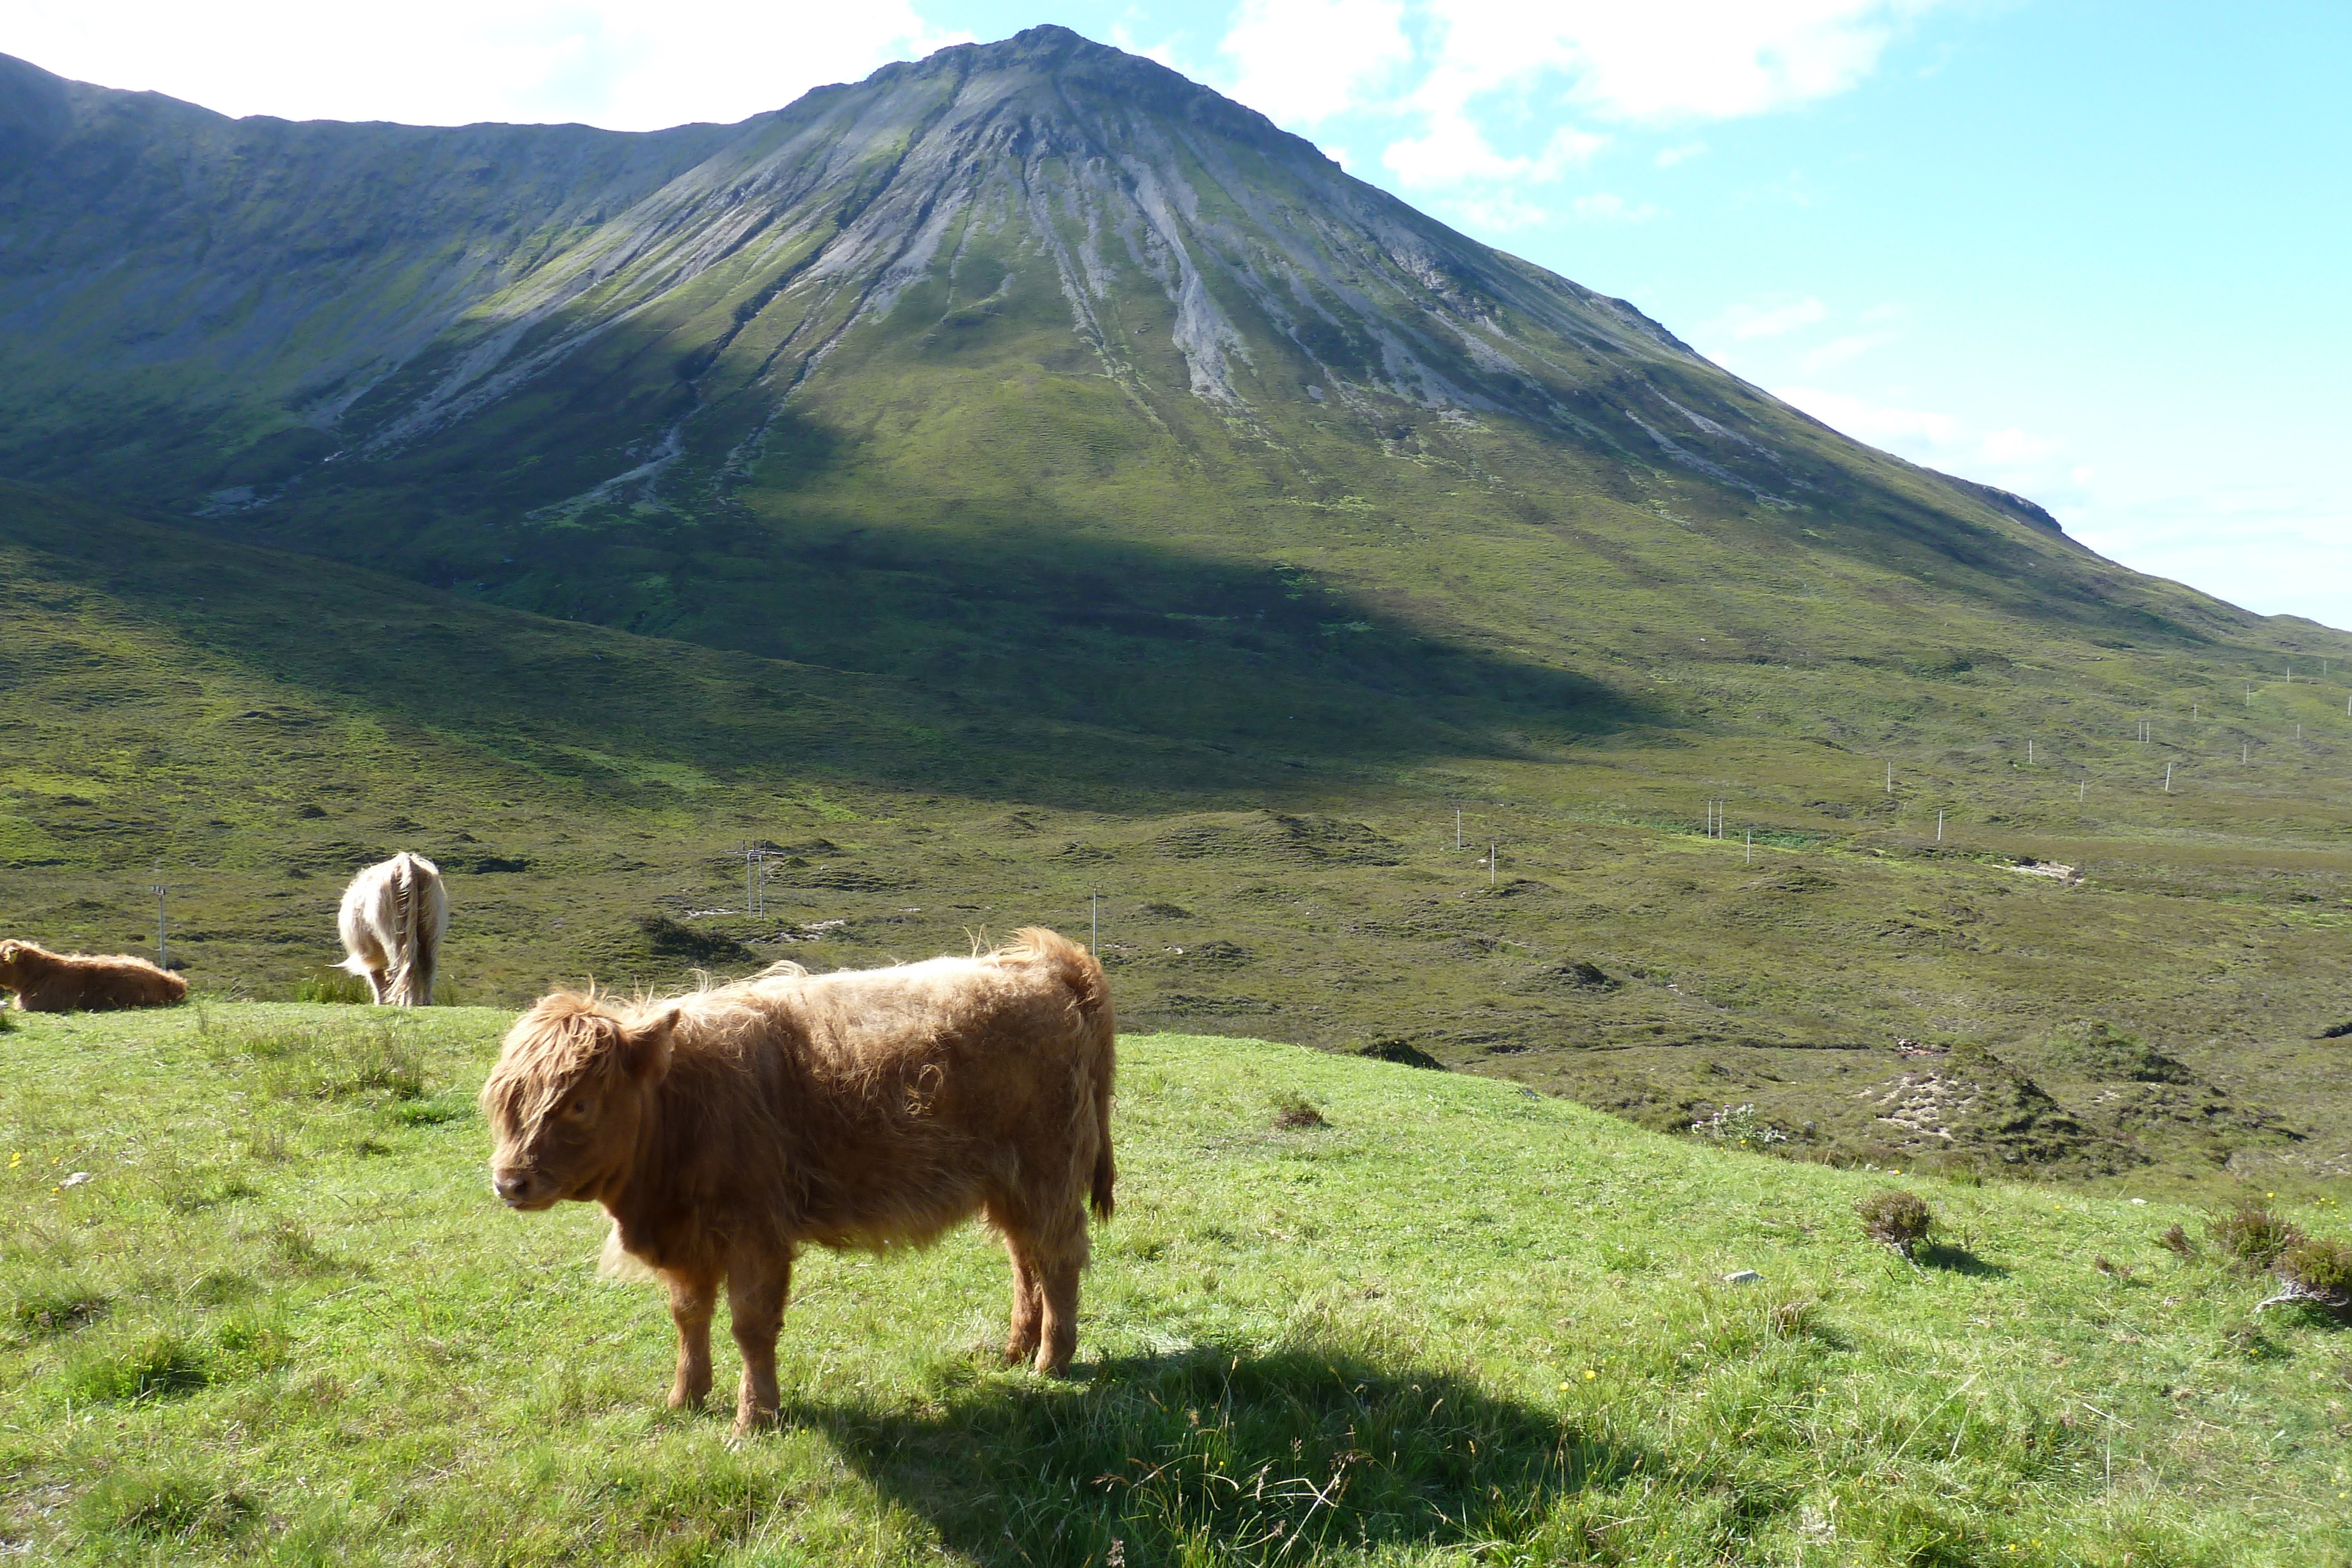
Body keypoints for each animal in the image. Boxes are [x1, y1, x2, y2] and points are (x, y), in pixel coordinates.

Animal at [339, 860, 452, 1006]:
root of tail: (407, 862)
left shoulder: (371, 952)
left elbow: (377, 978)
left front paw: (381, 1002)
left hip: (395, 932)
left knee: (401, 965)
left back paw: (404, 1001)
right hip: (430, 928)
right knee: (428, 965)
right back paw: (423, 1002)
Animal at [480, 931, 1120, 1439]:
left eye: (579, 1104)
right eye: (507, 1101)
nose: (510, 1181)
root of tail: (1043, 962)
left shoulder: (756, 1232)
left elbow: (750, 1325)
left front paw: (754, 1418)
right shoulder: (688, 1241)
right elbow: (689, 1316)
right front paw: (685, 1397)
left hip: (1047, 1171)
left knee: (1058, 1258)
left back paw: (1050, 1361)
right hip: (1008, 1184)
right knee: (1024, 1257)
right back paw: (1015, 1349)